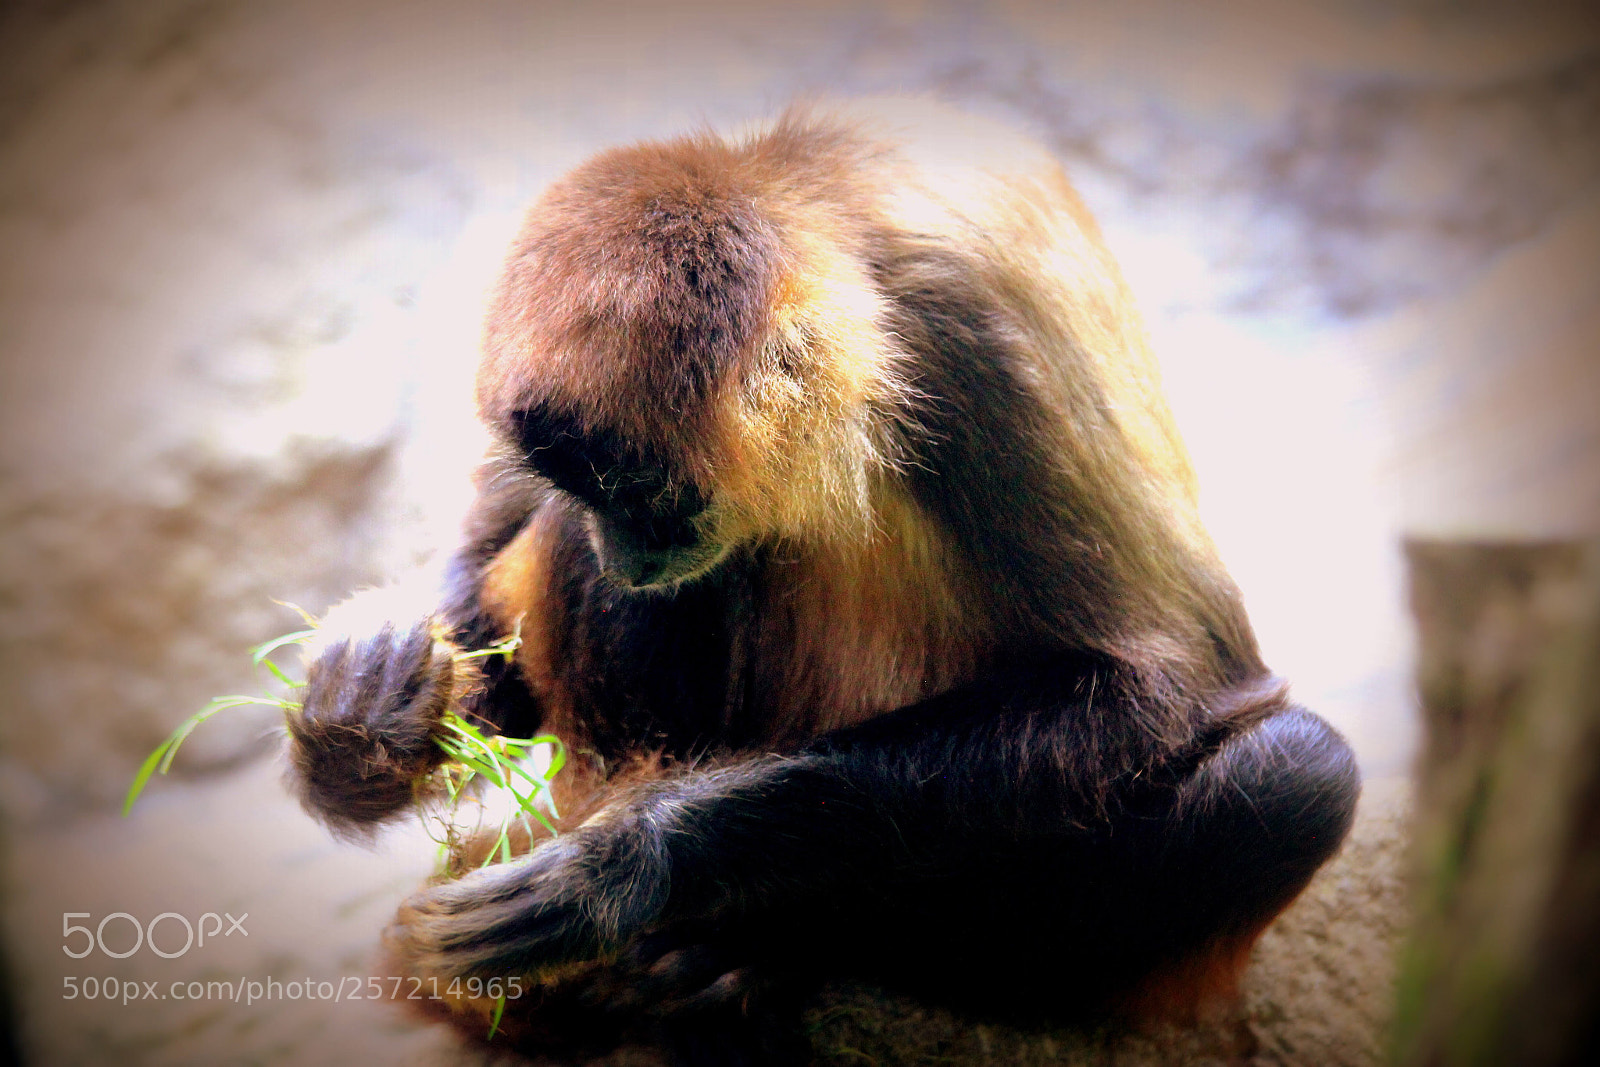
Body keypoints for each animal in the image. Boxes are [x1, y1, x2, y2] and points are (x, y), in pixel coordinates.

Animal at [285, 100, 1360, 1064]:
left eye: (642, 489)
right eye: (577, 482)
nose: (623, 543)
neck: (828, 208)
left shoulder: (974, 333)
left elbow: (1170, 683)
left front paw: (629, 859)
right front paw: (360, 718)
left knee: (1299, 773)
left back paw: (744, 951)